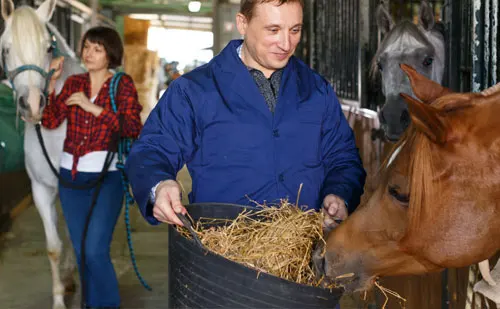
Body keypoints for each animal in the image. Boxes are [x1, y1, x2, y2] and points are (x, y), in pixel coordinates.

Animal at [0, 0, 84, 308]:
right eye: (6, 48)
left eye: (49, 48)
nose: (33, 105)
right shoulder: (41, 188)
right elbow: (53, 247)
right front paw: (60, 298)